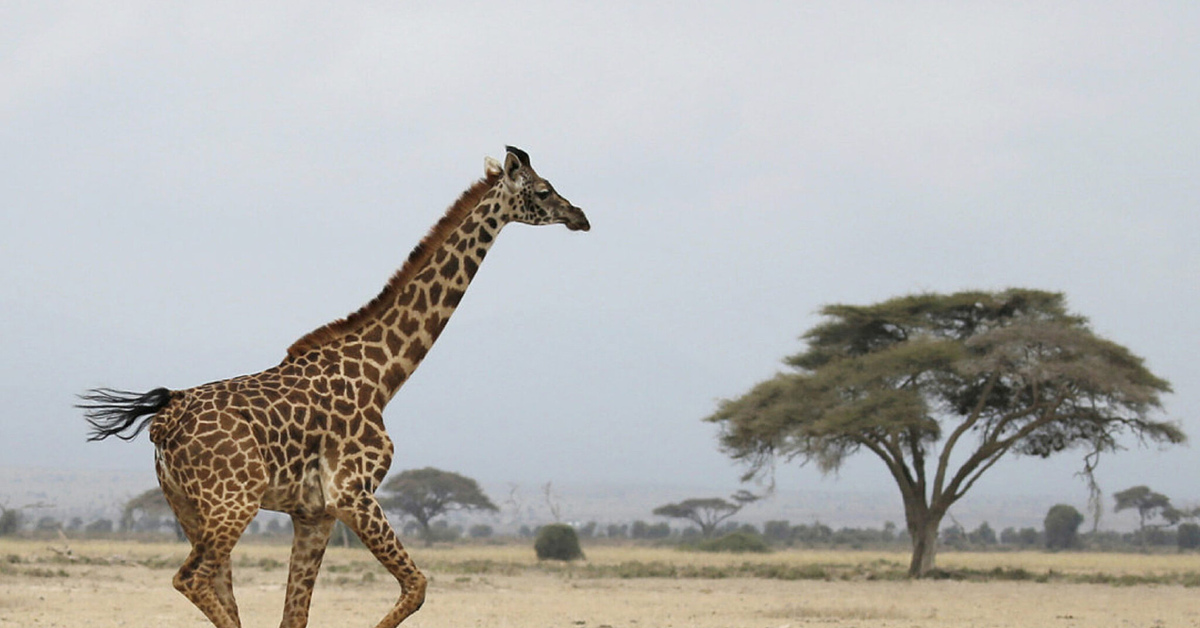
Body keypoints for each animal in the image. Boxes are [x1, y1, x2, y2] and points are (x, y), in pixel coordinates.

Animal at [79, 145, 590, 624]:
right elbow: (417, 586)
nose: (580, 216)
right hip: (233, 501)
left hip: (187, 506)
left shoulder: (315, 513)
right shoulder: (353, 492)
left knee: (215, 586)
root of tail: (165, 421)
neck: (382, 375)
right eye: (544, 190)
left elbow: (296, 615)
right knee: (190, 577)